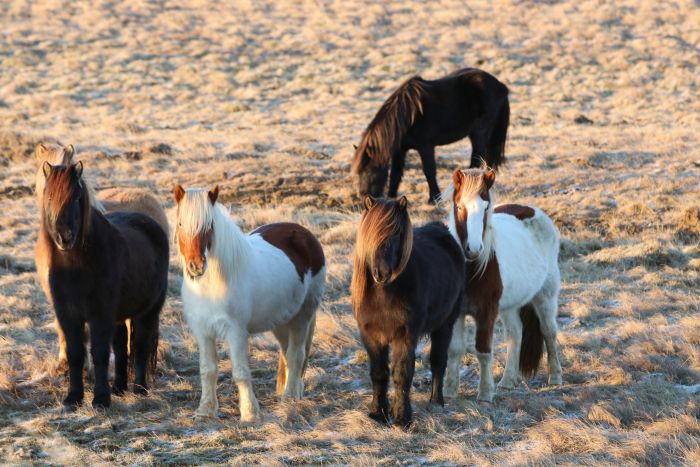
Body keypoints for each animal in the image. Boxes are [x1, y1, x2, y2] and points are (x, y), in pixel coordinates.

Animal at [38, 161, 170, 410]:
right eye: (49, 196)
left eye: (76, 196)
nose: (64, 237)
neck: (76, 268)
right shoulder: (68, 315)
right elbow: (75, 353)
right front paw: (73, 398)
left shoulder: (100, 315)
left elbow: (99, 353)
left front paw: (100, 399)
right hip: (119, 315)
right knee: (120, 347)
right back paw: (119, 388)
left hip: (148, 311)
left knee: (140, 346)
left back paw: (139, 389)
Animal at [172, 186, 326, 424]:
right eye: (181, 224)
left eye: (210, 225)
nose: (196, 266)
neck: (212, 283)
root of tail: (304, 234)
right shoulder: (203, 331)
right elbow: (207, 370)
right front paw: (205, 411)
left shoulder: (236, 332)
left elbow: (240, 372)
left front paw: (250, 414)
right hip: (281, 321)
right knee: (286, 353)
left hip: (303, 315)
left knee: (296, 354)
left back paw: (290, 397)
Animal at [350, 68, 508, 205]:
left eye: (370, 169)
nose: (363, 196)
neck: (408, 115)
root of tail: (501, 86)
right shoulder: (400, 150)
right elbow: (395, 173)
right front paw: (391, 197)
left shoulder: (425, 147)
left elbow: (429, 171)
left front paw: (434, 199)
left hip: (479, 133)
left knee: (476, 158)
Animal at [352, 196, 468, 430]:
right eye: (370, 234)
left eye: (397, 234)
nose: (381, 273)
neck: (384, 293)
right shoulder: (370, 336)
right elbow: (378, 373)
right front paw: (377, 413)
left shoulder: (404, 336)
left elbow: (402, 374)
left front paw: (401, 418)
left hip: (445, 325)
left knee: (438, 361)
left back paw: (436, 402)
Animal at [442, 167, 564, 402]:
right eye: (459, 206)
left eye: (486, 208)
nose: (473, 249)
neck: (472, 270)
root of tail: (533, 211)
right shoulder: (457, 313)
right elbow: (454, 349)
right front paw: (449, 391)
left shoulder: (487, 312)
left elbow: (482, 350)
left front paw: (485, 393)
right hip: (510, 305)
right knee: (515, 334)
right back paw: (507, 381)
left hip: (545, 296)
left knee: (549, 332)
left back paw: (555, 377)